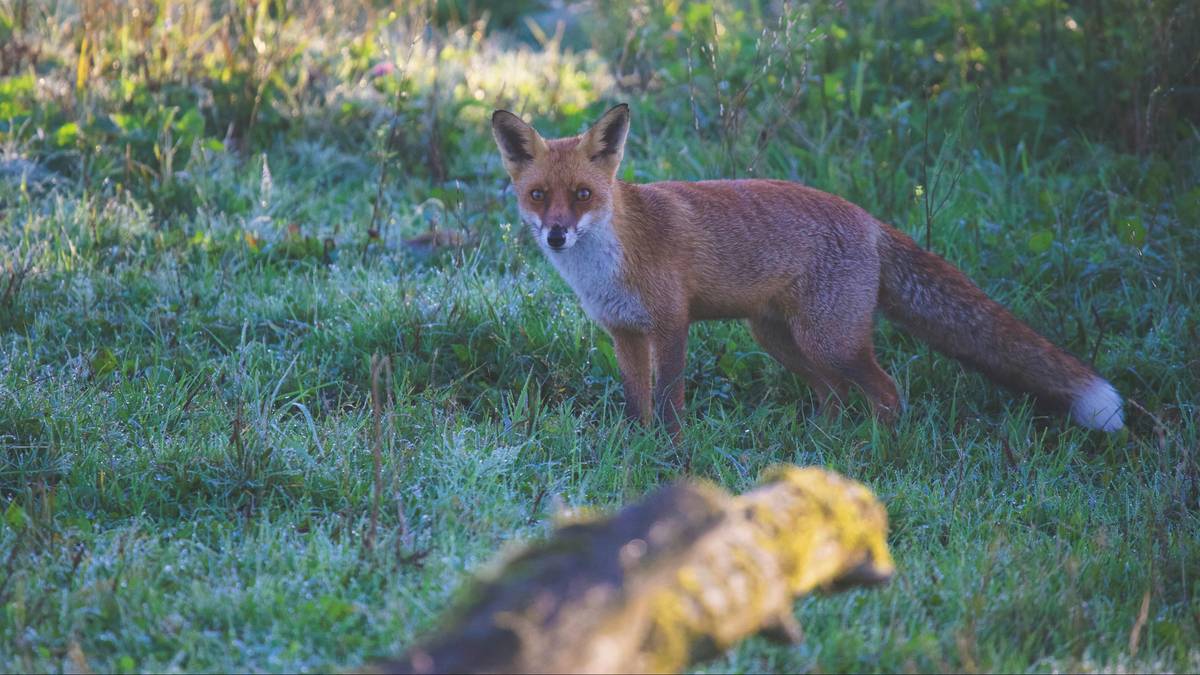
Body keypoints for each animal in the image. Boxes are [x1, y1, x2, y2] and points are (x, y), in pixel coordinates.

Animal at [489, 103, 1123, 432]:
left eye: (584, 195)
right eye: (540, 196)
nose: (557, 234)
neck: (607, 263)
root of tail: (869, 219)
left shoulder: (670, 324)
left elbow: (669, 401)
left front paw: (671, 454)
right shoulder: (624, 332)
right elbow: (635, 403)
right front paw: (636, 449)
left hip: (828, 341)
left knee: (886, 392)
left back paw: (877, 454)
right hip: (780, 338)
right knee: (834, 396)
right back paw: (821, 452)